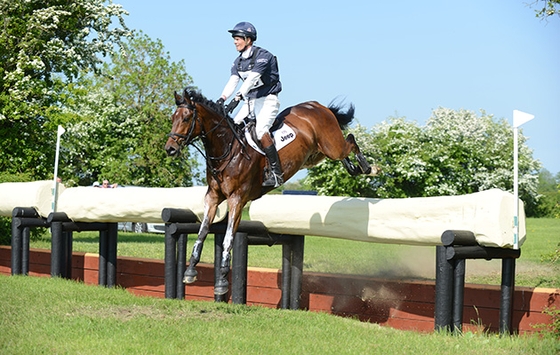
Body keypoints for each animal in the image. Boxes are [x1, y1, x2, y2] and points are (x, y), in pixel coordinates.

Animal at [165, 89, 376, 298]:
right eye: (173, 118)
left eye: (186, 118)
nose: (170, 149)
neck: (228, 149)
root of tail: (316, 105)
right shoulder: (212, 197)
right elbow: (202, 231)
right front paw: (190, 271)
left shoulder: (237, 200)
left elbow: (228, 238)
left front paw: (222, 281)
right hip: (316, 154)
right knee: (343, 151)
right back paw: (353, 168)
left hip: (331, 146)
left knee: (350, 140)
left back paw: (368, 168)